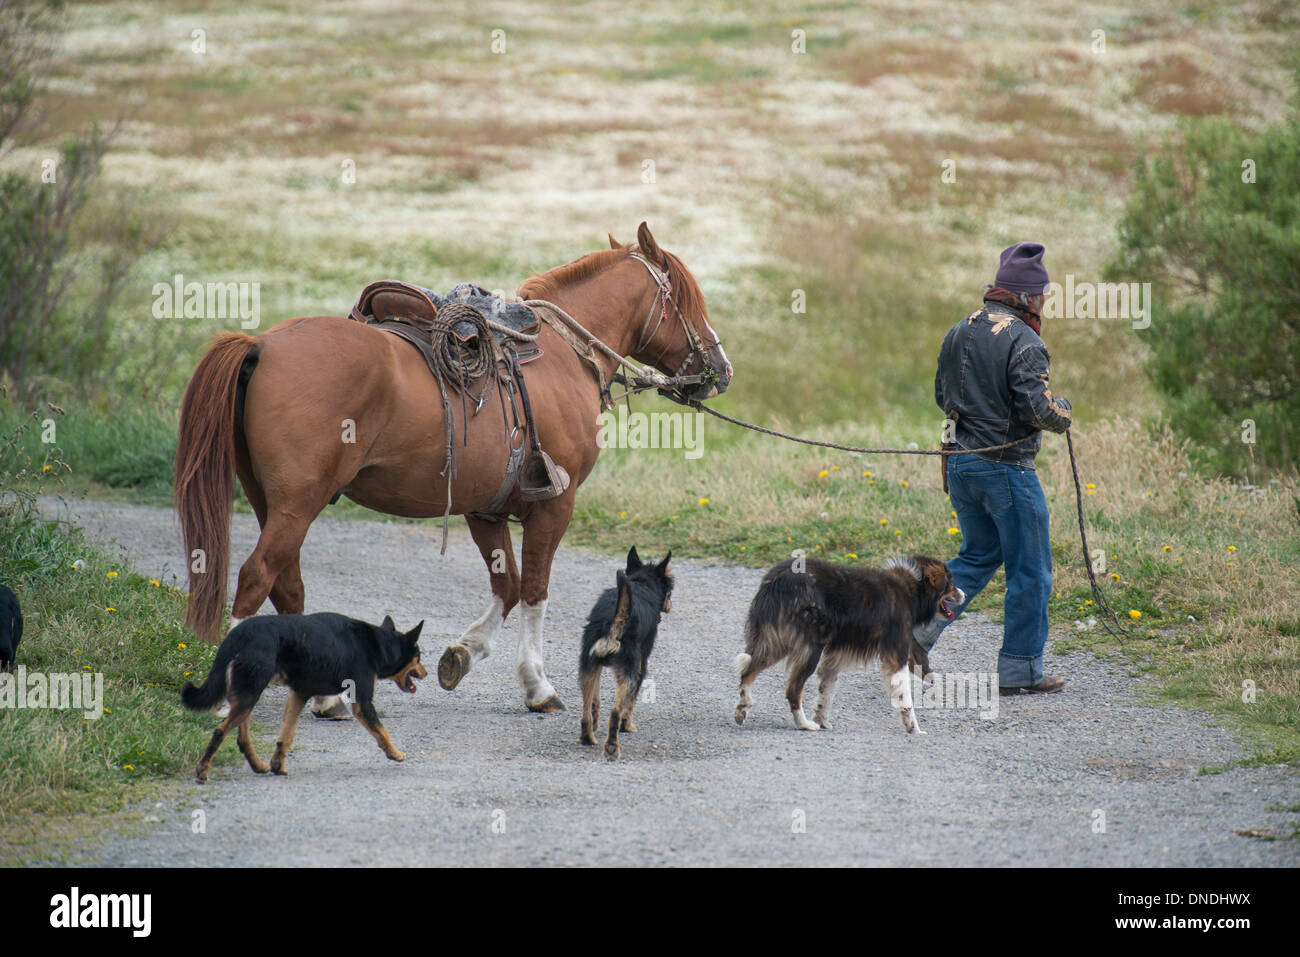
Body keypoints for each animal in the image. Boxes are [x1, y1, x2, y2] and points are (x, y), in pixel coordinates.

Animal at [172, 222, 733, 712]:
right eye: (687, 300)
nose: (720, 371)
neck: (563, 357)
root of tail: (262, 345)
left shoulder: (486, 509)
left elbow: (507, 588)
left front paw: (463, 654)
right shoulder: (554, 505)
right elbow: (535, 591)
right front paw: (538, 685)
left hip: (275, 503)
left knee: (286, 583)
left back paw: (327, 698)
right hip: (297, 503)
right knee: (257, 576)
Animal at [180, 613, 426, 785]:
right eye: (419, 656)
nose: (426, 673)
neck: (379, 645)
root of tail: (237, 634)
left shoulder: (299, 693)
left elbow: (286, 736)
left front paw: (278, 765)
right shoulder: (362, 703)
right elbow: (382, 731)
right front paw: (395, 753)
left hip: (247, 693)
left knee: (241, 736)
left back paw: (258, 764)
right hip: (251, 692)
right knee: (220, 731)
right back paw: (203, 770)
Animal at [582, 546, 676, 764]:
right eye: (670, 591)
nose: (670, 605)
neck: (641, 582)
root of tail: (613, 621)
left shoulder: (596, 667)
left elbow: (595, 700)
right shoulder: (642, 667)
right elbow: (631, 704)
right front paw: (628, 726)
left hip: (587, 667)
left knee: (586, 712)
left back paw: (588, 737)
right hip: (629, 672)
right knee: (616, 711)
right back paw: (612, 747)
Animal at [733, 553, 967, 733]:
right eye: (950, 583)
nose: (964, 594)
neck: (912, 587)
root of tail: (777, 581)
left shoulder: (834, 657)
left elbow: (826, 692)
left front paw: (823, 721)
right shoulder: (896, 655)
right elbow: (905, 699)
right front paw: (914, 729)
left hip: (775, 640)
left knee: (747, 671)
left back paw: (743, 708)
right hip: (809, 648)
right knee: (792, 689)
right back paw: (804, 724)